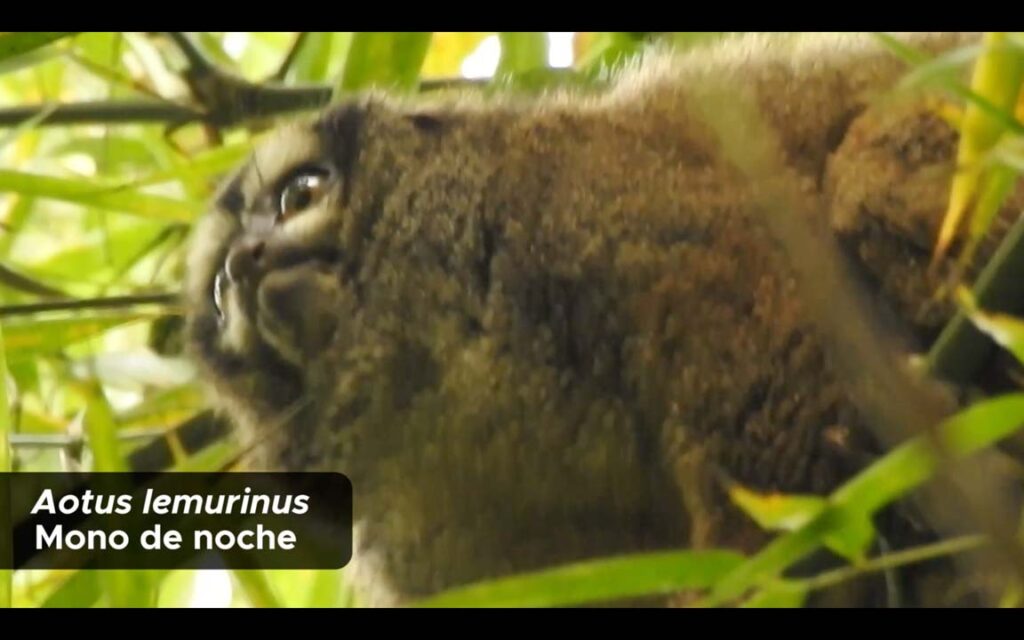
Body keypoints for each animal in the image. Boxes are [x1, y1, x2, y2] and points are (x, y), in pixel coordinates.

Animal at [183, 32, 1024, 606]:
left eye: (300, 195)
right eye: (222, 288)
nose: (249, 260)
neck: (430, 359)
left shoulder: (570, 198)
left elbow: (741, 264)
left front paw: (771, 547)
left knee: (870, 175)